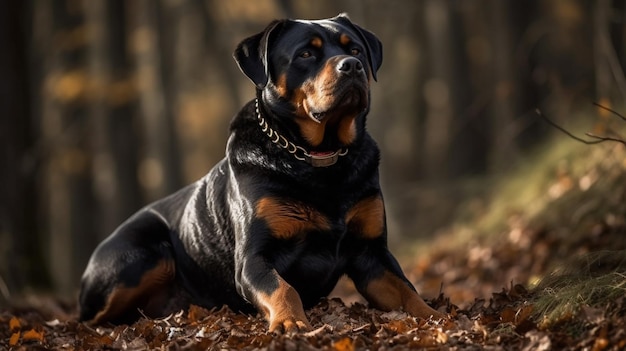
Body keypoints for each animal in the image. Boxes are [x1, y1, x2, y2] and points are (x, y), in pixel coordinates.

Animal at [78, 13, 442, 332]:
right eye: (306, 53)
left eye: (354, 49)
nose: (351, 65)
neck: (320, 160)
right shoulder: (254, 259)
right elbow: (282, 287)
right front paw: (291, 322)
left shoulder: (372, 254)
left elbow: (406, 290)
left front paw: (436, 318)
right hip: (141, 256)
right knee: (92, 319)